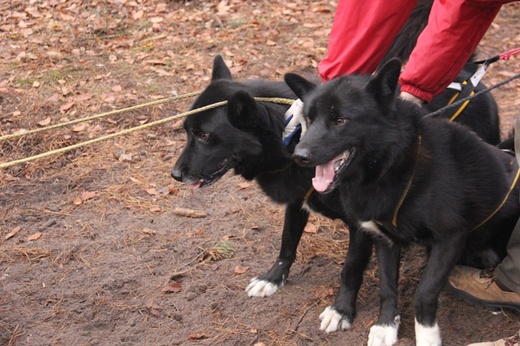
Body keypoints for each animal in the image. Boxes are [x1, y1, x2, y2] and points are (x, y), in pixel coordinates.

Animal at [288, 58, 520, 344]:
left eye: (340, 120)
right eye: (309, 119)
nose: (298, 156)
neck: (394, 166)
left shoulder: (450, 238)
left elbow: (425, 291)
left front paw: (427, 336)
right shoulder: (384, 239)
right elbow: (387, 287)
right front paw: (386, 326)